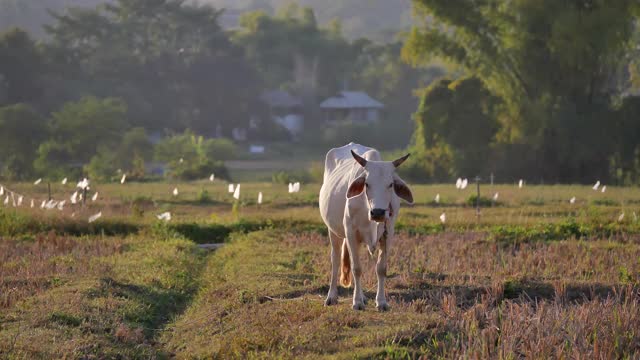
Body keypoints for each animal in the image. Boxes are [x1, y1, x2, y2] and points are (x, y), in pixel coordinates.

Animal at [318, 142, 412, 310]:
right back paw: (332, 296)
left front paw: (381, 302)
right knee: (335, 260)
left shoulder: (388, 234)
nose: (378, 212)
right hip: (333, 231)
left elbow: (381, 268)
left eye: (390, 184)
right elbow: (357, 268)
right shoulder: (350, 232)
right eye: (367, 184)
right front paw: (356, 302)